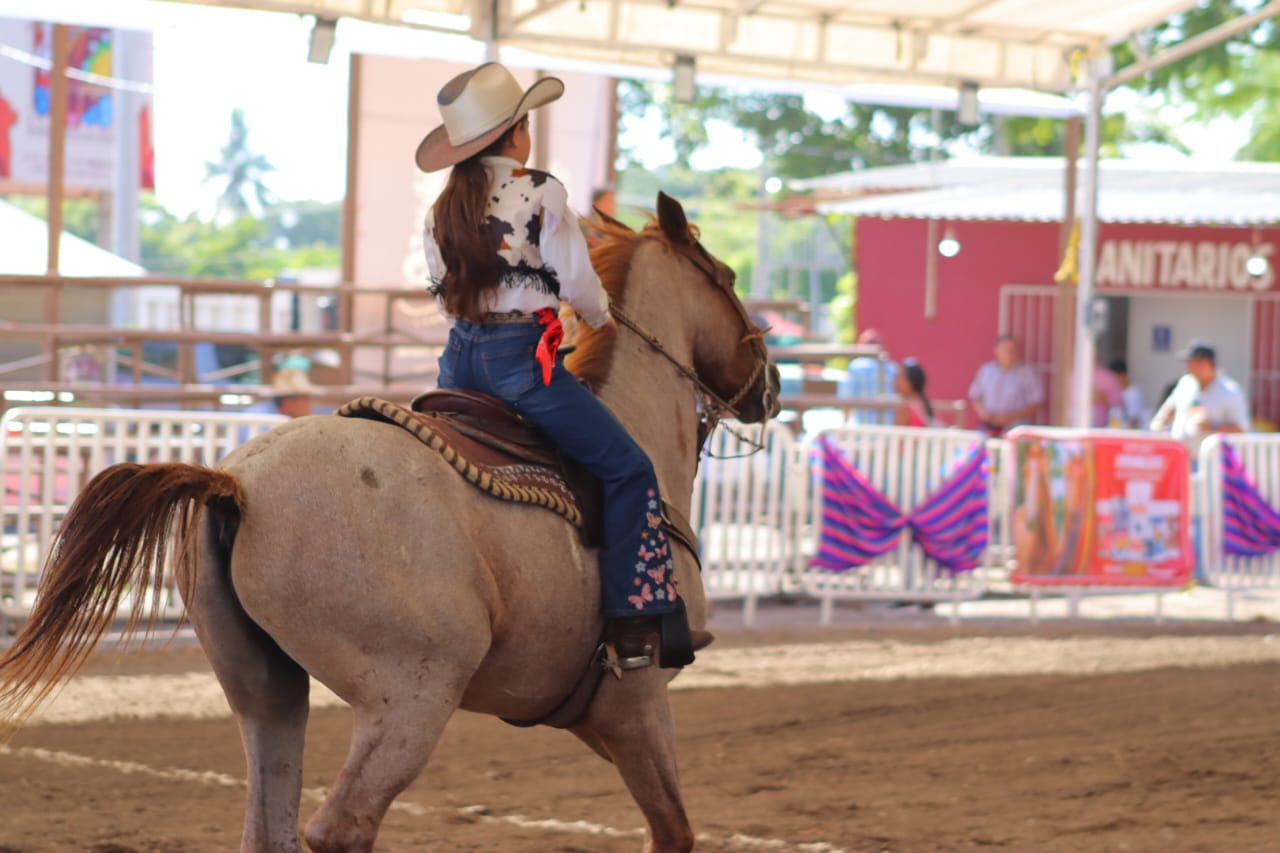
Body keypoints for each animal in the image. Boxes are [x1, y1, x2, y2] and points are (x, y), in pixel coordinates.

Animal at [0, 192, 780, 853]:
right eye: (726, 275)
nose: (770, 384)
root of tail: (236, 486)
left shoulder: (587, 709)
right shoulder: (636, 703)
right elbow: (673, 830)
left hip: (266, 691)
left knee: (270, 826)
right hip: (411, 698)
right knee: (341, 826)